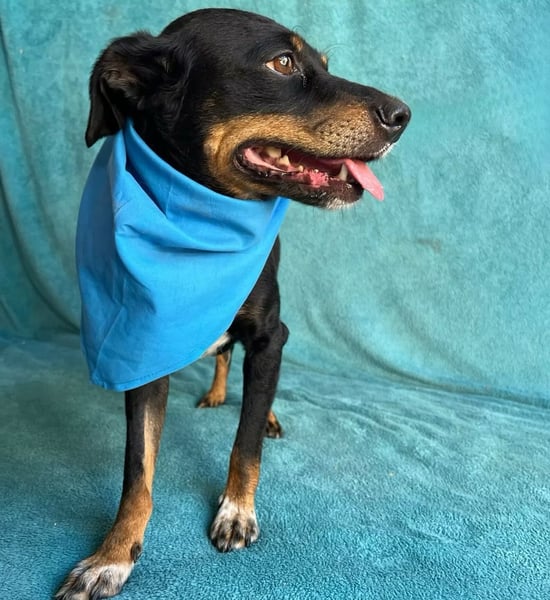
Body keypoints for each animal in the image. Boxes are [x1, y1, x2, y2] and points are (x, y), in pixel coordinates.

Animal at [56, 8, 409, 599]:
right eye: (283, 63)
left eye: (324, 62)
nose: (403, 114)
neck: (202, 224)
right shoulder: (146, 348)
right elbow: (137, 470)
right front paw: (113, 555)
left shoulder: (271, 336)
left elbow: (245, 445)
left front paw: (236, 511)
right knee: (223, 356)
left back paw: (263, 413)